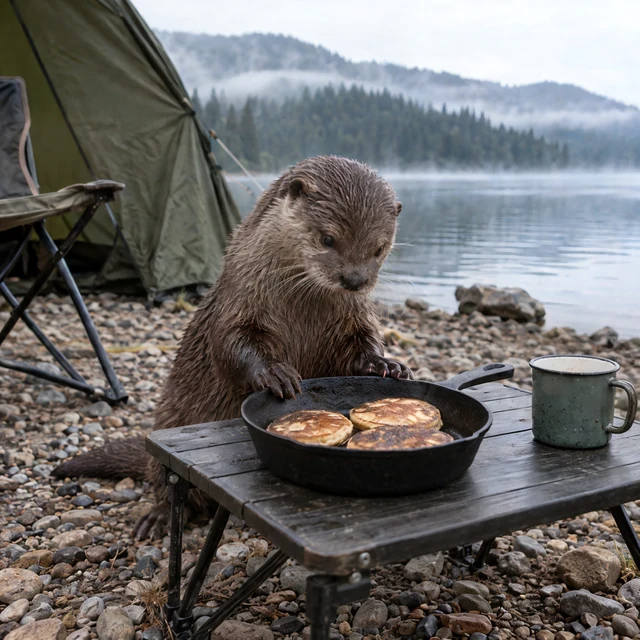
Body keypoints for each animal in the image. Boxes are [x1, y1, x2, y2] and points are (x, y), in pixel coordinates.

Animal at [53, 155, 412, 538]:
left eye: (379, 247)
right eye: (327, 238)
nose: (355, 280)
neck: (302, 310)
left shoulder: (354, 317)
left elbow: (359, 345)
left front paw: (387, 365)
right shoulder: (238, 300)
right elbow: (231, 344)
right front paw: (276, 374)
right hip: (166, 425)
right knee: (164, 482)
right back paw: (157, 518)